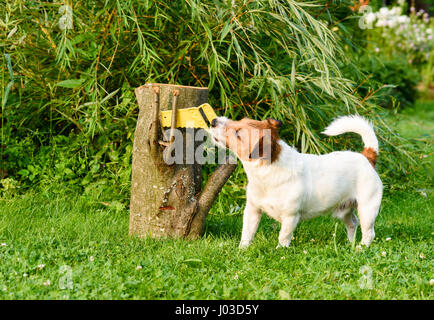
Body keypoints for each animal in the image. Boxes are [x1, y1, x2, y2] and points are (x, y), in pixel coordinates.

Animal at [210, 115, 384, 248]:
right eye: (239, 119)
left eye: (238, 134)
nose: (213, 120)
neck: (266, 173)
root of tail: (367, 156)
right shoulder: (252, 210)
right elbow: (247, 233)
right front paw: (242, 250)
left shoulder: (290, 217)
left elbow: (283, 236)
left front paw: (280, 251)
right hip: (345, 208)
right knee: (352, 223)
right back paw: (351, 244)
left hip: (367, 208)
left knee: (369, 232)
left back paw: (361, 248)